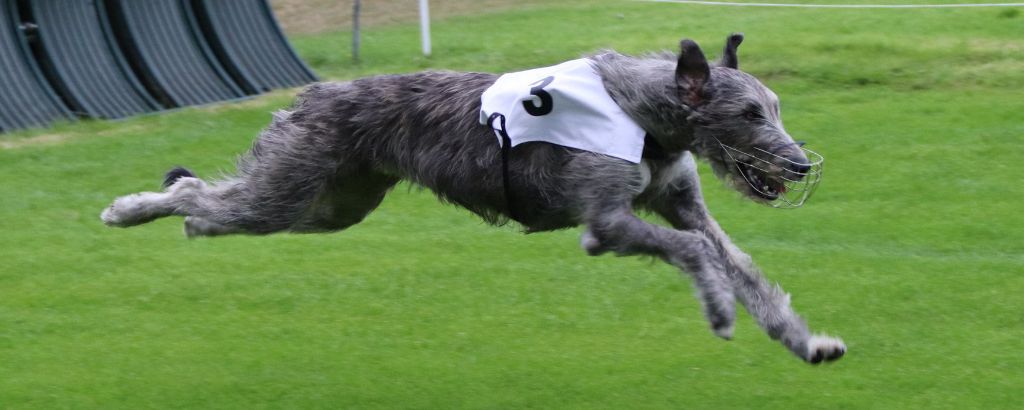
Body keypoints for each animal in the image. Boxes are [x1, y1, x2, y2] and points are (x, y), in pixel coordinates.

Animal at [99, 33, 843, 362]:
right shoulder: (603, 221)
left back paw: (186, 225)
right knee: (200, 191)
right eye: (749, 113)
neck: (641, 114)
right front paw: (718, 311)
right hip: (289, 188)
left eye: (774, 107)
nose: (800, 164)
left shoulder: (678, 201)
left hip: (331, 206)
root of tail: (311, 95)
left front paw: (805, 340)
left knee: (213, 204)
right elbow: (694, 253)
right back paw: (128, 210)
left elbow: (738, 264)